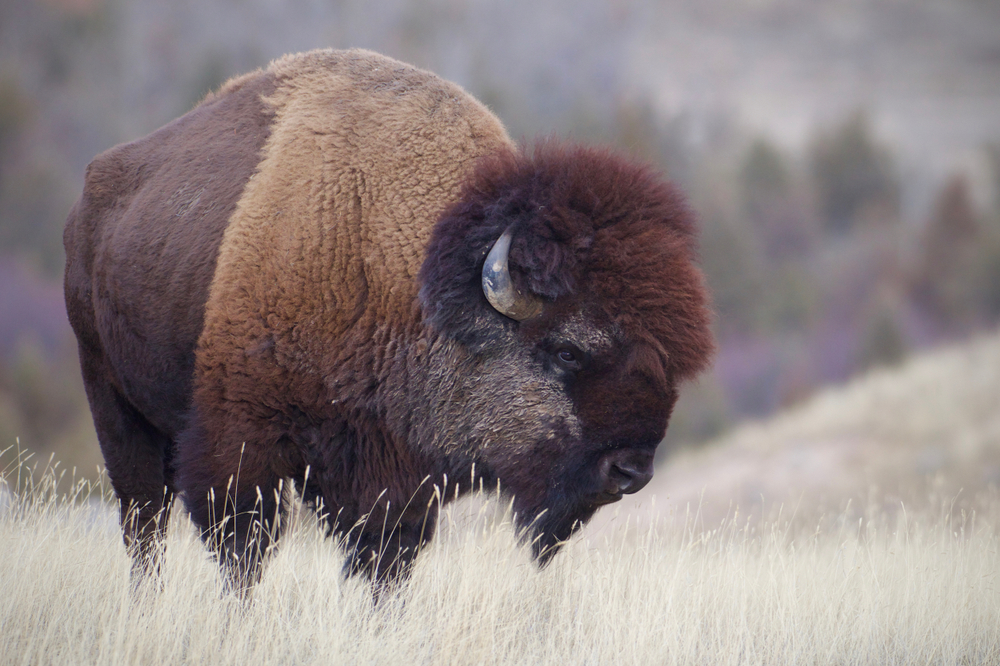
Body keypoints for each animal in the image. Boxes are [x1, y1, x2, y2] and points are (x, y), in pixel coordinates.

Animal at [64, 49, 714, 589]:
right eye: (567, 350)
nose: (631, 470)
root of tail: (91, 197)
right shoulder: (239, 443)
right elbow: (244, 549)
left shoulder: (392, 478)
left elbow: (384, 563)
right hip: (113, 403)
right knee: (143, 520)